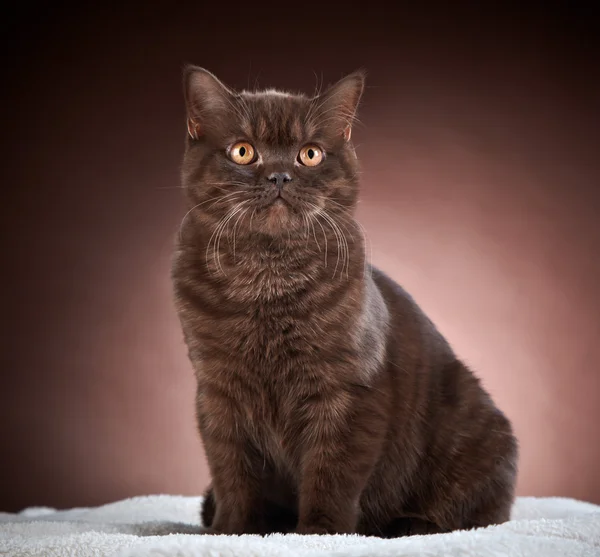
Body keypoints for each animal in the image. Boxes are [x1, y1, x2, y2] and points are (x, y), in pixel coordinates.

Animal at [171, 66, 516, 540]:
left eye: (310, 154)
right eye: (243, 151)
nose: (280, 175)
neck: (266, 280)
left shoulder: (347, 390)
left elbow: (331, 471)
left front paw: (320, 533)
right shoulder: (218, 391)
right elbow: (231, 471)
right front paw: (232, 531)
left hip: (475, 428)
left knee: (477, 511)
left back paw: (409, 524)